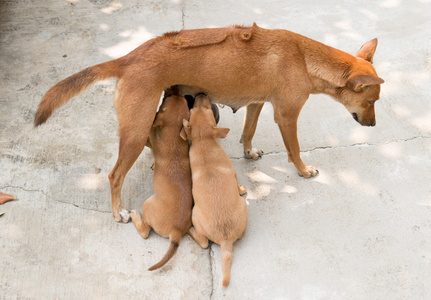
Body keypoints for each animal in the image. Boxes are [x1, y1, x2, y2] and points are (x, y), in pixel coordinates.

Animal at [33, 23, 384, 221]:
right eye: (371, 102)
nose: (373, 126)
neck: (305, 59)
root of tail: (129, 58)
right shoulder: (286, 115)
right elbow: (294, 150)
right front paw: (303, 170)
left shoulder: (256, 103)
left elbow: (247, 132)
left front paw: (248, 152)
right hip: (134, 129)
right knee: (115, 174)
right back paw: (117, 210)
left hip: (145, 120)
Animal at [130, 85, 192, 270]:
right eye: (182, 99)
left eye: (166, 100)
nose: (175, 86)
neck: (174, 135)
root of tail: (176, 231)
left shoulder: (149, 137)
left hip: (148, 205)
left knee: (144, 231)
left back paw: (134, 215)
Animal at [182, 95, 248, 288]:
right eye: (207, 110)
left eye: (193, 110)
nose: (200, 94)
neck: (203, 142)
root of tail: (225, 239)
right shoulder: (233, 173)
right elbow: (237, 184)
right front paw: (242, 189)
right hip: (195, 214)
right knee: (204, 242)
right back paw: (190, 231)